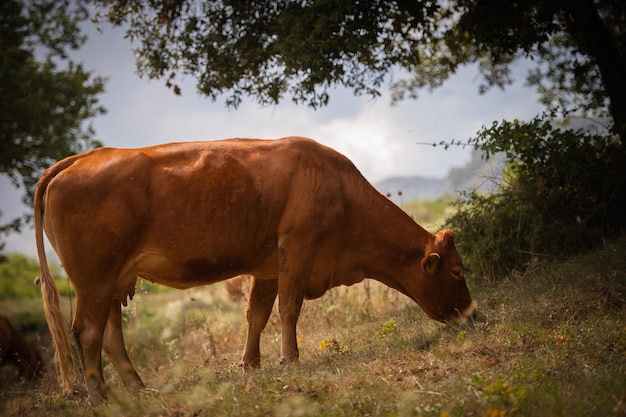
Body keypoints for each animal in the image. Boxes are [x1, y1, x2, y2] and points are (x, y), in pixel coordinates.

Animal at [33, 136, 472, 400]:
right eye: (457, 273)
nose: (473, 313)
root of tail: (80, 158)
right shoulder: (297, 249)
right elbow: (289, 309)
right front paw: (289, 359)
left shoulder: (268, 267)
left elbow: (257, 314)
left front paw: (251, 364)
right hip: (93, 277)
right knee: (88, 332)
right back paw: (101, 397)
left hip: (112, 279)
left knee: (110, 335)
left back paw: (139, 390)